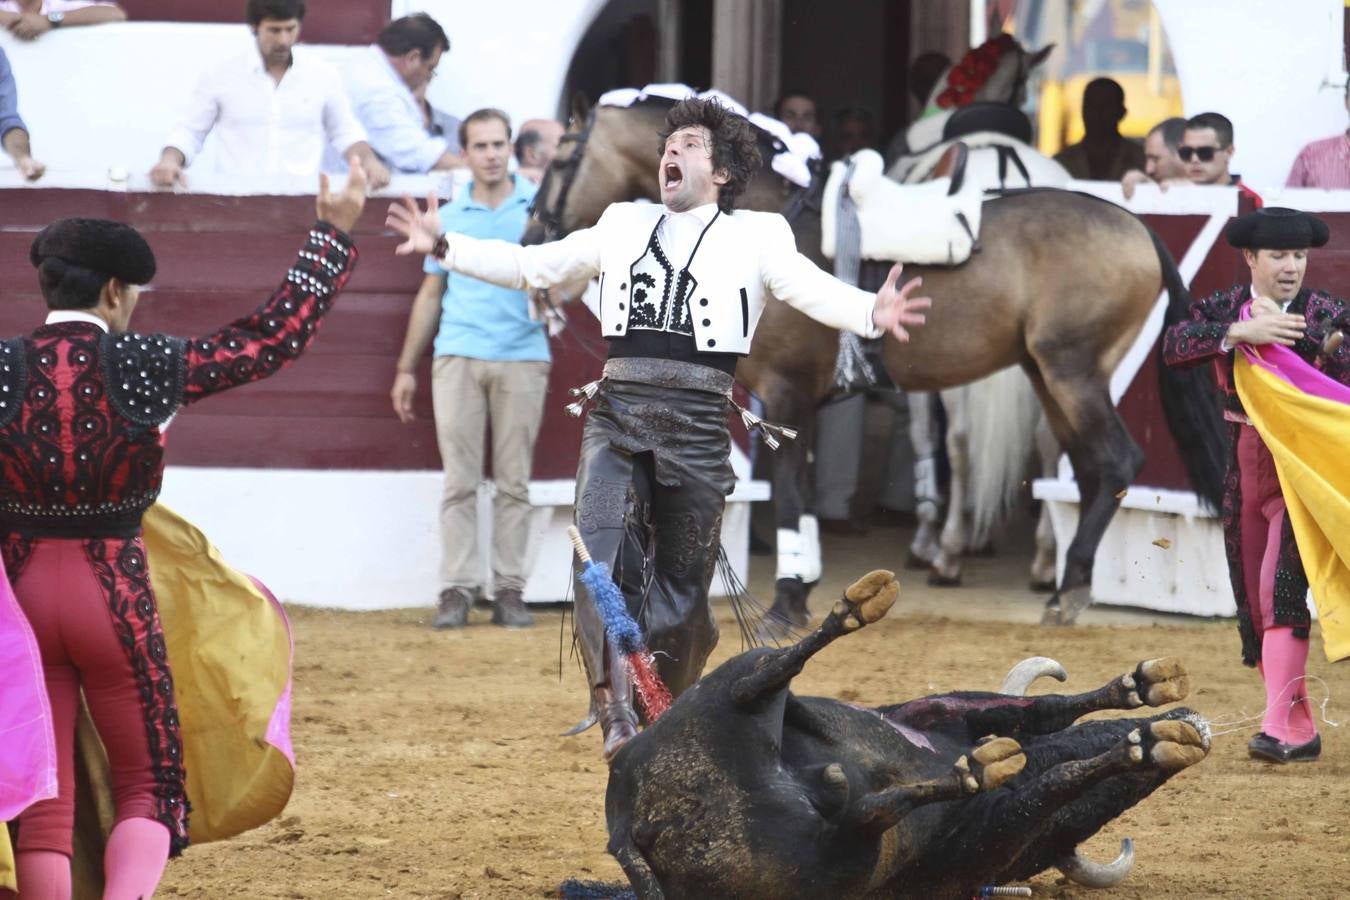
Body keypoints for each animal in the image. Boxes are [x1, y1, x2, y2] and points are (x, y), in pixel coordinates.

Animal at [526, 93, 1225, 634]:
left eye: (560, 160)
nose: (533, 236)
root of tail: (1138, 227)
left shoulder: (787, 394)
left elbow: (790, 495)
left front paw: (786, 601)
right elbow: (800, 496)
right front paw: (801, 590)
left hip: (1072, 372)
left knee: (1117, 461)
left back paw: (1067, 591)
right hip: (1048, 376)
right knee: (1087, 469)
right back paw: (1065, 583)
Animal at [607, 574, 1209, 895]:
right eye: (1071, 829)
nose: (1196, 724)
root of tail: (634, 821)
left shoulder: (946, 714)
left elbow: (1042, 709)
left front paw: (1142, 688)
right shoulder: (998, 826)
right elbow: (1053, 766)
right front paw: (1143, 740)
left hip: (820, 838)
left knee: (763, 685)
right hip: (834, 860)